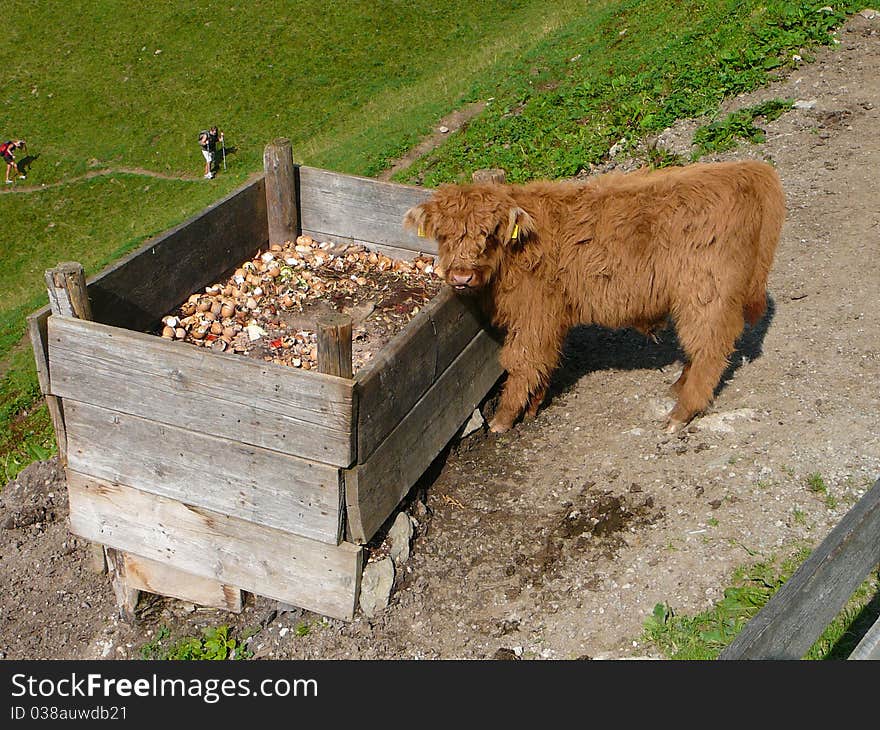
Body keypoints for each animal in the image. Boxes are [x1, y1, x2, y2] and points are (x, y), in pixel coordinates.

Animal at [404, 160, 784, 432]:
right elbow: (541, 362)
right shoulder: (546, 320)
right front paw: (532, 406)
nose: (461, 276)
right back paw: (678, 387)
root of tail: (743, 170)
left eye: (489, 234)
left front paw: (504, 418)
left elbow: (522, 361)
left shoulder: (535, 314)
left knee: (710, 347)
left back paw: (680, 413)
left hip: (705, 293)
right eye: (443, 235)